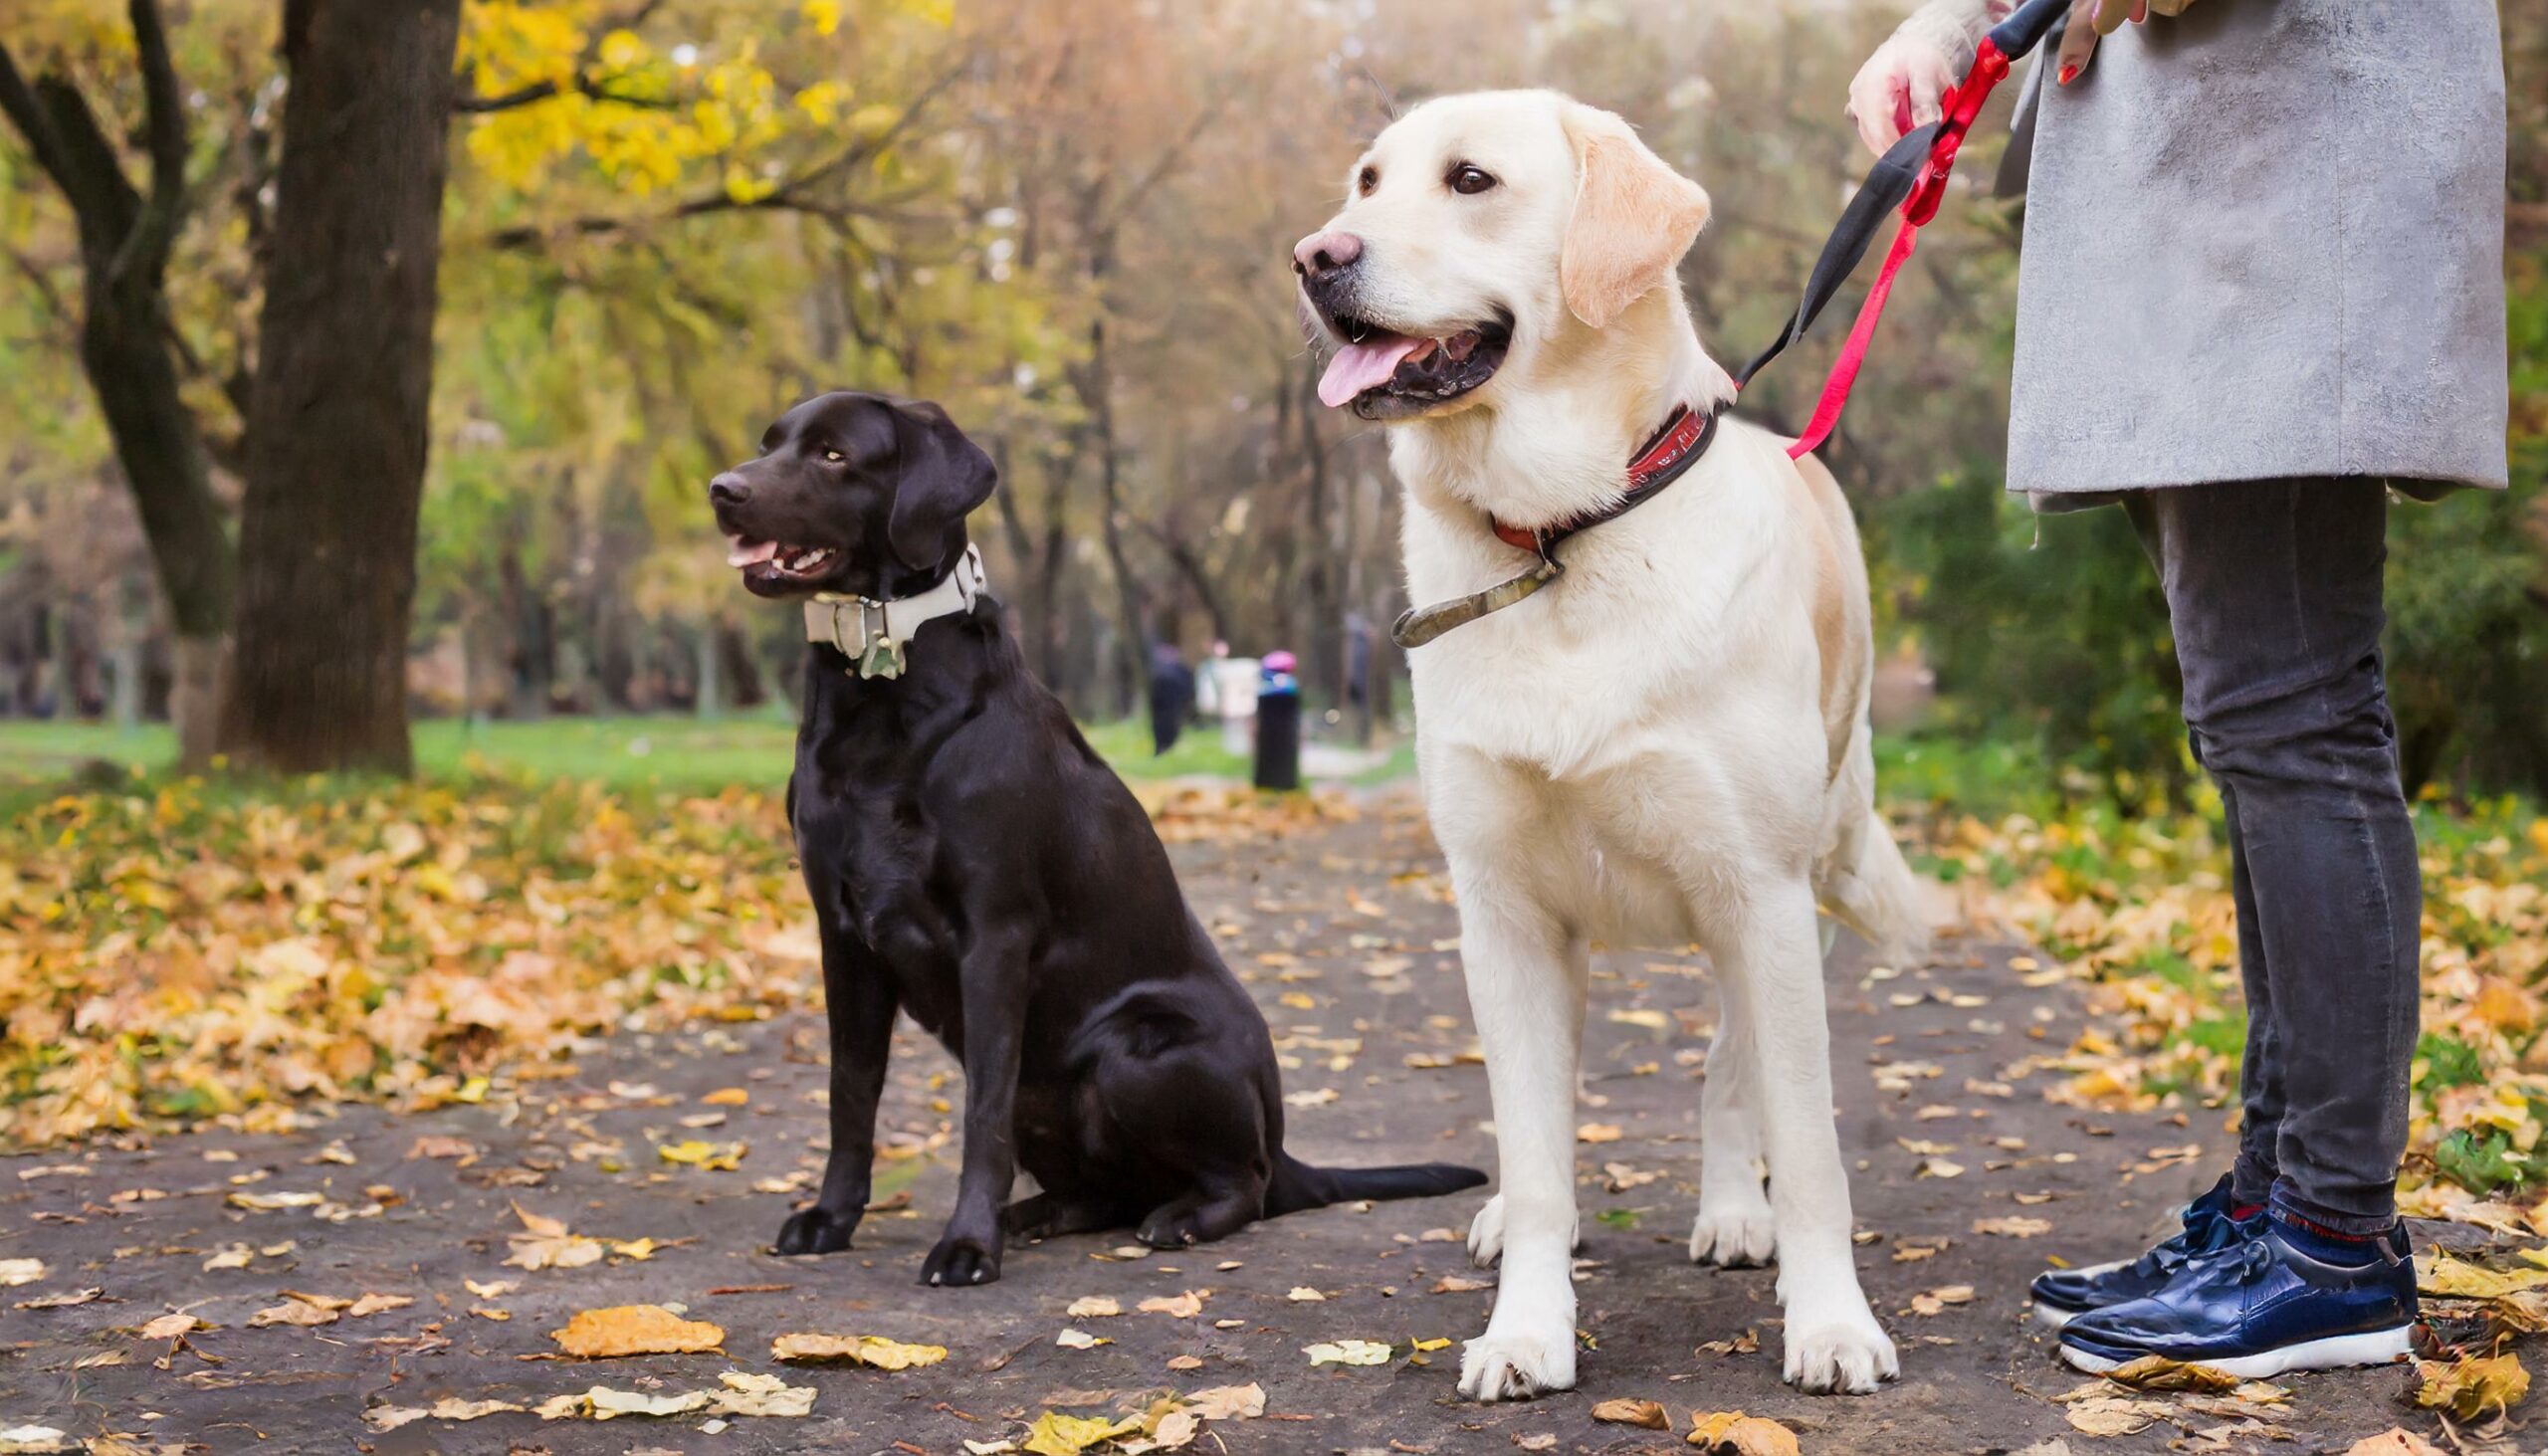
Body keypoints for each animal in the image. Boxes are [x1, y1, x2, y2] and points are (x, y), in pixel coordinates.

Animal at [708, 390, 1488, 1285]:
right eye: (771, 442)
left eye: (834, 455)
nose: (723, 489)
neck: (876, 688)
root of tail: (1287, 1145)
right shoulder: (844, 937)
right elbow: (850, 1094)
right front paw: (832, 1217)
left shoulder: (995, 934)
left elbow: (978, 1115)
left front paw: (967, 1243)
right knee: (1100, 1188)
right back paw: (1041, 1211)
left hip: (1138, 1049)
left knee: (1246, 1184)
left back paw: (1178, 1217)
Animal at [1304, 89, 1916, 1397]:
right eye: (1367, 182)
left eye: (1470, 180)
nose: (1314, 257)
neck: (1561, 537)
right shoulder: (1504, 915)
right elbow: (1537, 1151)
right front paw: (1525, 1329)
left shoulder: (1760, 895)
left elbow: (1811, 1150)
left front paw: (1831, 1321)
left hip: (1788, 893)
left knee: (1731, 1073)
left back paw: (1736, 1212)